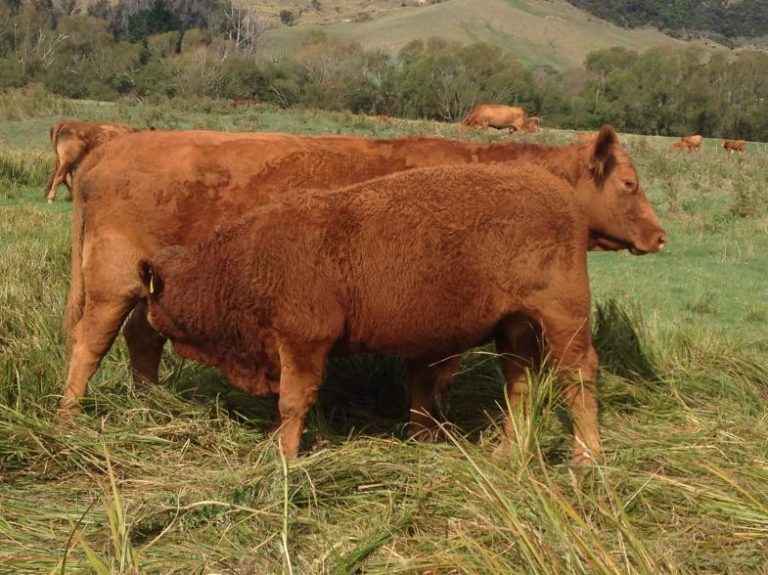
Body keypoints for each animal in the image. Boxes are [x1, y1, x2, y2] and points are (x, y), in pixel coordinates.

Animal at [60, 127, 659, 427]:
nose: (659, 236)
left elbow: (423, 383)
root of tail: (108, 148)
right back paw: (70, 417)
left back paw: (151, 407)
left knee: (141, 338)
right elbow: (429, 382)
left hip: (146, 288)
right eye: (629, 183)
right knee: (90, 344)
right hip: (113, 284)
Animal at [138, 162, 665, 464]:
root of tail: (563, 194)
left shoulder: (302, 343)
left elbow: (292, 401)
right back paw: (506, 452)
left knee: (579, 375)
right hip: (513, 329)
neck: (247, 258)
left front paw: (284, 457)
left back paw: (586, 458)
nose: (148, 321)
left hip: (562, 318)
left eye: (152, 297)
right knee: (521, 384)